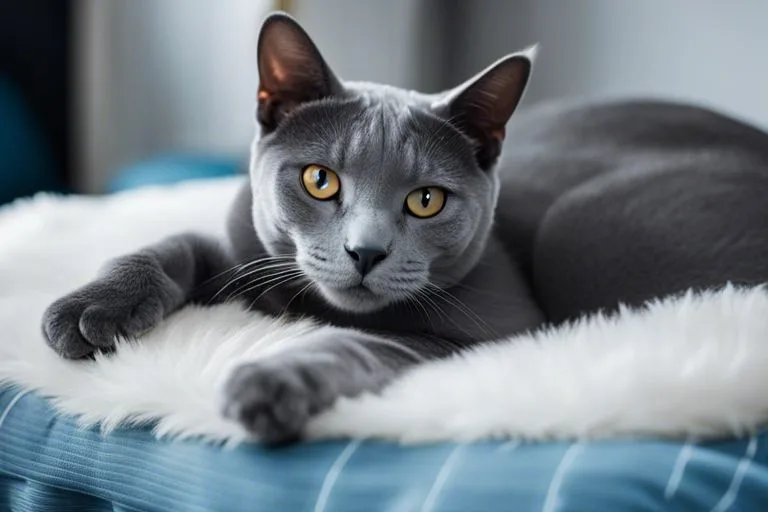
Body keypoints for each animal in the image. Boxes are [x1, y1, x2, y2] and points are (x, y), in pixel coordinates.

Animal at [40, 13, 768, 444]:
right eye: (319, 180)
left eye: (425, 201)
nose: (365, 251)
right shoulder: (244, 241)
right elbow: (173, 245)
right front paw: (88, 309)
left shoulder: (485, 330)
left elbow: (359, 343)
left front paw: (272, 384)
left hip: (578, 227)